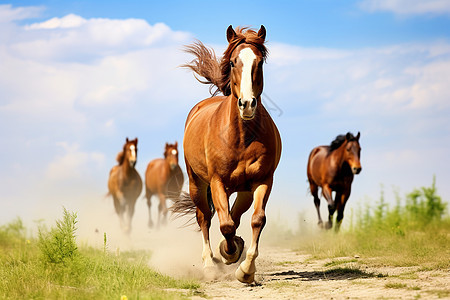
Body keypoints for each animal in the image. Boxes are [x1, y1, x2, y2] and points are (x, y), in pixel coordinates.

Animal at [172, 24, 282, 284]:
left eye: (259, 62)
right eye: (233, 62)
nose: (247, 104)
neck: (241, 137)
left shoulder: (262, 181)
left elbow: (256, 219)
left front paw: (246, 269)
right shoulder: (217, 182)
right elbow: (225, 225)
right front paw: (228, 254)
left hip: (243, 190)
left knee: (235, 215)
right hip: (197, 184)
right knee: (205, 218)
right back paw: (209, 264)